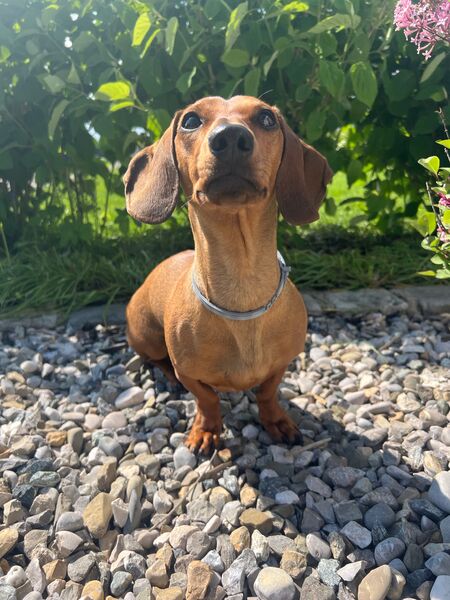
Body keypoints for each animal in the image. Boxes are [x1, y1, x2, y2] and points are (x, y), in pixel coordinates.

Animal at [123, 95, 332, 453]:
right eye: (190, 120)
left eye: (266, 118)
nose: (231, 138)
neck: (241, 292)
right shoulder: (191, 375)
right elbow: (207, 399)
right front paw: (206, 431)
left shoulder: (281, 364)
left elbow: (267, 393)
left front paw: (276, 420)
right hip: (145, 335)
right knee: (157, 361)